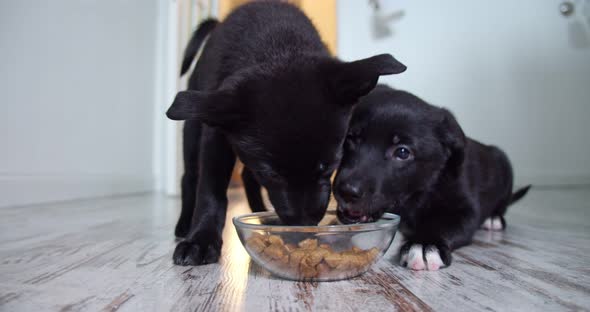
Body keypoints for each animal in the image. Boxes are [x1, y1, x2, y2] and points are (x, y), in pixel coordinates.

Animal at [165, 2, 408, 266]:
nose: (304, 225)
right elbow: (211, 189)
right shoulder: (216, 136)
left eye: (328, 166)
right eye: (271, 174)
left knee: (246, 176)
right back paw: (183, 225)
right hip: (194, 123)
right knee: (190, 176)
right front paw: (201, 240)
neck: (278, 48)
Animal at [336, 84, 536, 270]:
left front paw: (425, 243)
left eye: (402, 152)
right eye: (349, 138)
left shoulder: (465, 208)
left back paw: (493, 218)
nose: (346, 191)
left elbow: (444, 224)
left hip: (504, 165)